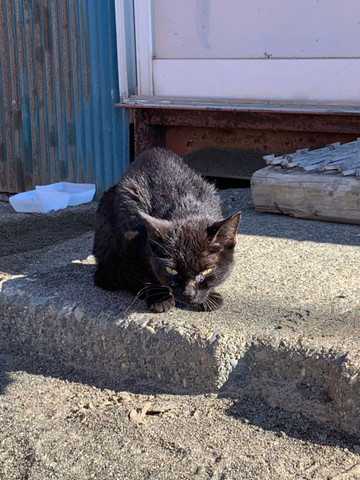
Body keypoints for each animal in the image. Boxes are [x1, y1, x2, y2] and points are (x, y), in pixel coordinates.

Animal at [93, 150, 240, 316]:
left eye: (208, 270)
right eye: (172, 270)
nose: (188, 294)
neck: (184, 207)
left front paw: (209, 297)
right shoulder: (130, 240)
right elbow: (145, 273)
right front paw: (160, 297)